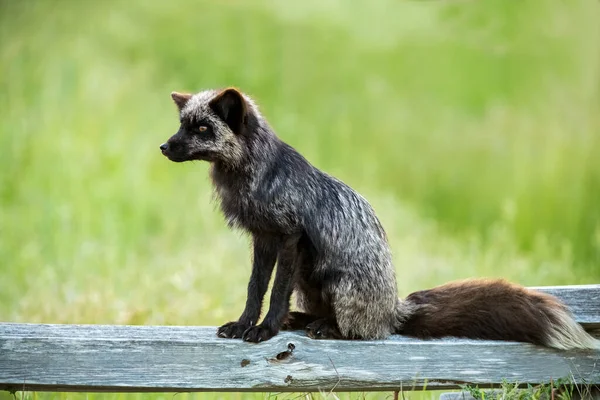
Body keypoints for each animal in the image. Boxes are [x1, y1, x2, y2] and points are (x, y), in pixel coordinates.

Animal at [161, 87, 600, 350]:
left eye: (203, 128)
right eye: (183, 124)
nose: (164, 147)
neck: (254, 175)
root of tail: (394, 310)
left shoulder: (287, 237)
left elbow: (275, 292)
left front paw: (266, 329)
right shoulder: (262, 239)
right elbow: (255, 289)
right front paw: (245, 323)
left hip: (335, 282)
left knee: (361, 332)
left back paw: (325, 328)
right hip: (311, 282)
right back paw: (302, 321)